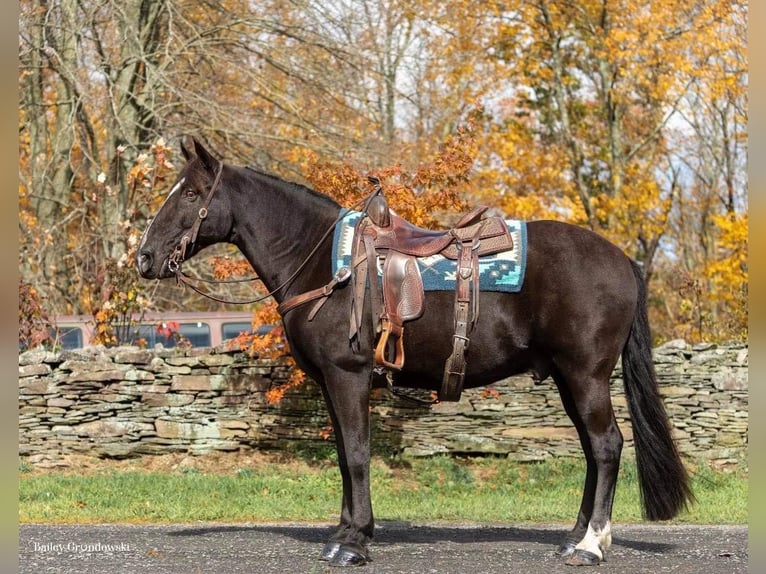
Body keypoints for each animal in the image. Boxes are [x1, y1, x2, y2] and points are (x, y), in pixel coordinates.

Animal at [138, 137, 696, 568]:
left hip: (586, 375)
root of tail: (622, 260)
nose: (144, 257)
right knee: (592, 449)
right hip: (566, 377)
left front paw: (354, 544)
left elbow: (357, 455)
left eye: (192, 193)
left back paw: (591, 546)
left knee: (606, 446)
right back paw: (575, 537)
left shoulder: (348, 376)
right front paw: (344, 535)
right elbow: (343, 456)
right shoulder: (332, 384)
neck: (327, 266)